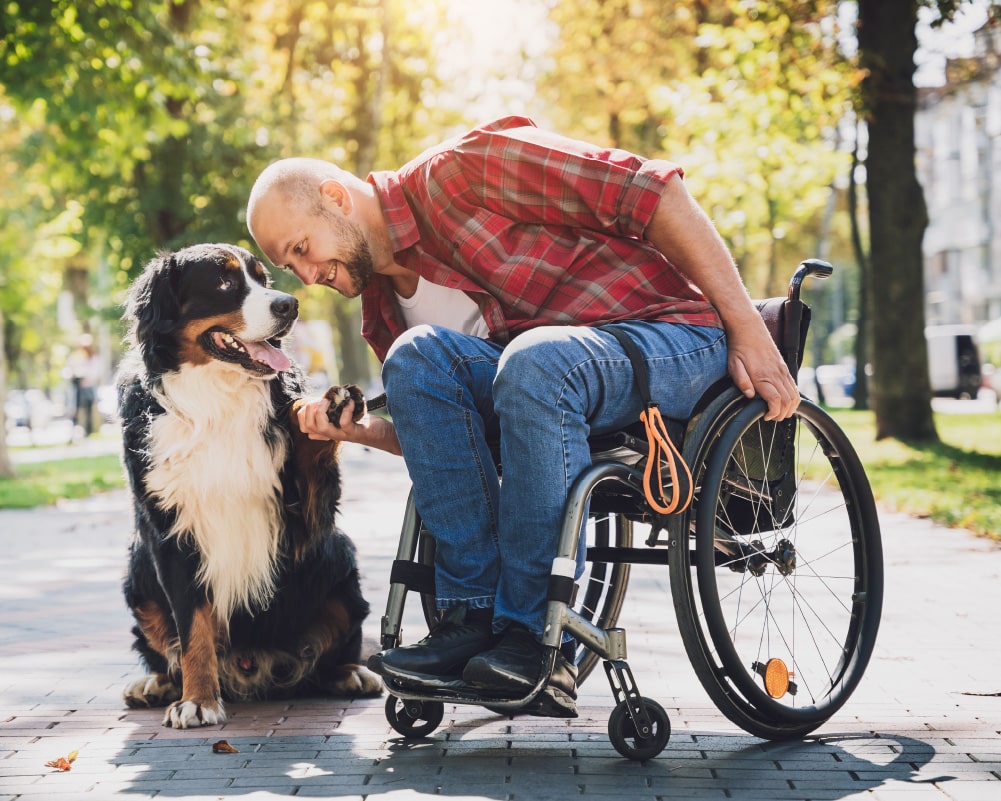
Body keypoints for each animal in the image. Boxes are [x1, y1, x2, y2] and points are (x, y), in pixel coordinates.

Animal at [117, 242, 380, 724]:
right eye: (224, 282)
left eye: (263, 279)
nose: (290, 305)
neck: (217, 400)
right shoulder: (170, 531)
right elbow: (192, 629)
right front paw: (197, 700)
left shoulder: (303, 520)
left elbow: (310, 443)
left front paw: (324, 409)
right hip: (137, 567)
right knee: (165, 648)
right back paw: (156, 684)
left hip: (338, 555)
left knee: (336, 646)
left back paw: (351, 673)